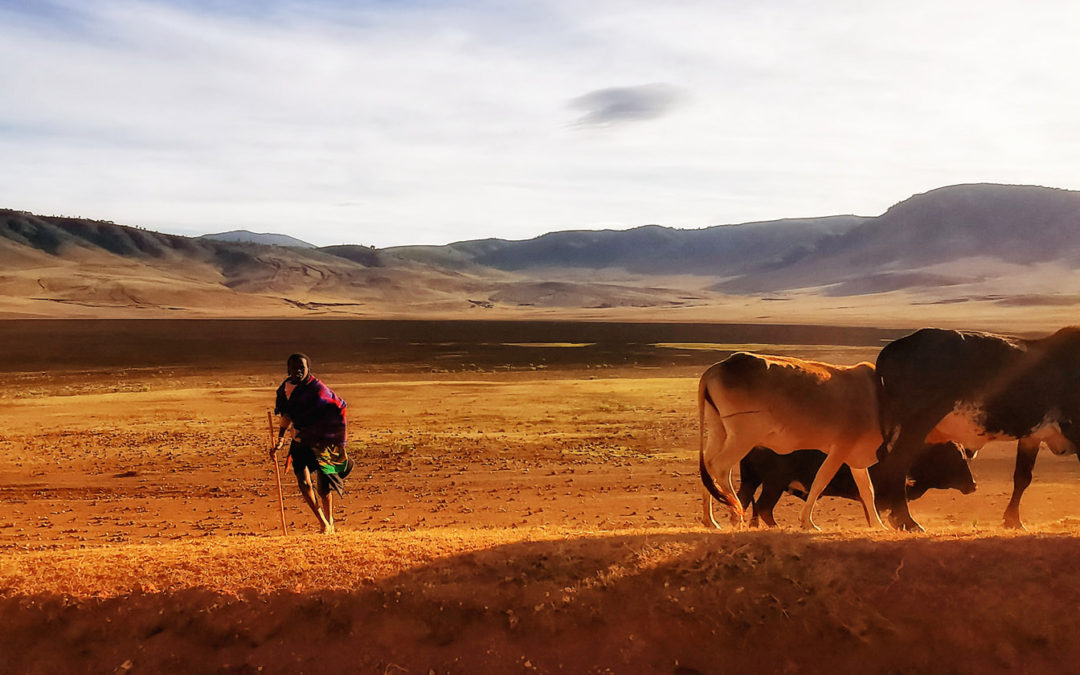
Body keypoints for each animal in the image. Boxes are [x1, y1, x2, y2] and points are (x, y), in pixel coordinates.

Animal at [699, 349, 885, 529]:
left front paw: (879, 525)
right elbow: (821, 480)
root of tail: (716, 369)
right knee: (720, 467)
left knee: (708, 467)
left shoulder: (855, 454)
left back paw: (711, 521)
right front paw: (807, 522)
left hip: (719, 432)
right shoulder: (840, 448)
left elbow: (867, 490)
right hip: (744, 437)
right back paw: (735, 515)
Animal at [738, 440, 976, 529]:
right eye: (956, 456)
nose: (973, 485)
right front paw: (912, 526)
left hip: (752, 481)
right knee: (764, 507)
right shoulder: (892, 487)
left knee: (743, 502)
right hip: (773, 483)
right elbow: (898, 507)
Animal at [872, 326, 1080, 531]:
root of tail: (897, 346)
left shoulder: (1032, 436)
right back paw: (907, 521)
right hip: (918, 424)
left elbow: (1022, 476)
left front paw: (1013, 520)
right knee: (897, 464)